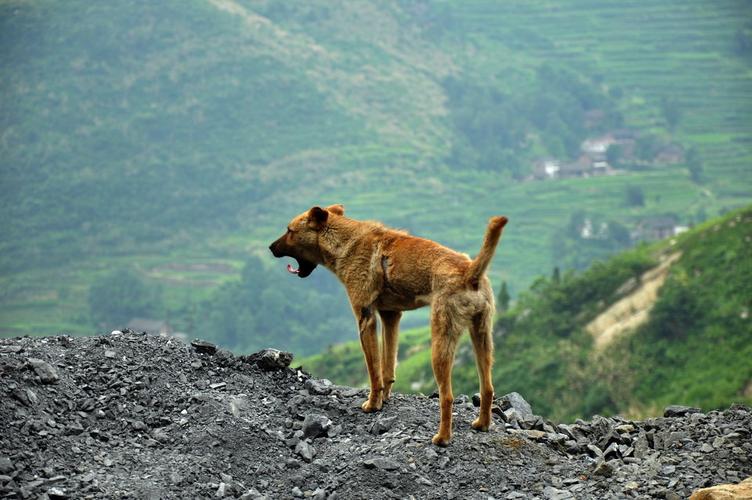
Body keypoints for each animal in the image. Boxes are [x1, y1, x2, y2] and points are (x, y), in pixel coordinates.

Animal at [268, 204, 508, 446]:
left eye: (289, 230)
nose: (270, 248)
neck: (345, 241)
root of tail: (470, 273)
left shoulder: (365, 318)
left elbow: (374, 371)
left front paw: (373, 404)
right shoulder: (391, 316)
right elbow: (387, 367)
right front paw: (384, 399)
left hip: (441, 341)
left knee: (447, 396)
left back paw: (442, 437)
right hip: (482, 335)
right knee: (488, 388)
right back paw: (482, 424)